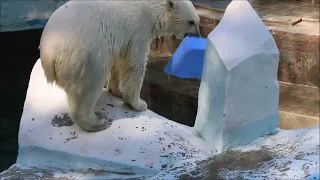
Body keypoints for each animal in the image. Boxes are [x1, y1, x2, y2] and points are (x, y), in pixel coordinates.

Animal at [39, 0, 200, 132]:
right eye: (191, 22)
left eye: (197, 21)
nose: (198, 35)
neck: (152, 9)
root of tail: (49, 54)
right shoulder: (138, 30)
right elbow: (135, 65)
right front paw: (139, 104)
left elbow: (119, 61)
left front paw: (117, 91)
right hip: (87, 55)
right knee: (88, 89)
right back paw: (98, 122)